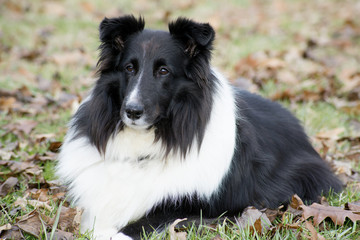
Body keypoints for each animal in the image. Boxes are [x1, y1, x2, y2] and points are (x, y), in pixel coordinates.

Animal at [57, 15, 342, 239]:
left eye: (163, 71)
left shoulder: (194, 207)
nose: (132, 111)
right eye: (129, 68)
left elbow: (139, 224)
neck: (158, 137)